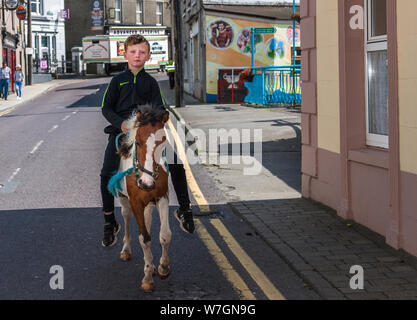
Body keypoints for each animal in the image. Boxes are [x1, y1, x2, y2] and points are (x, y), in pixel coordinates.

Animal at [109, 106, 171, 292]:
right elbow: (144, 239)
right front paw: (148, 277)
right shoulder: (135, 203)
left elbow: (165, 235)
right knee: (126, 216)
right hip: (124, 200)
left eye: (162, 142)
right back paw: (126, 250)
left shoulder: (162, 197)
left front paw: (163, 267)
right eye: (137, 142)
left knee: (148, 220)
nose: (146, 183)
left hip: (148, 203)